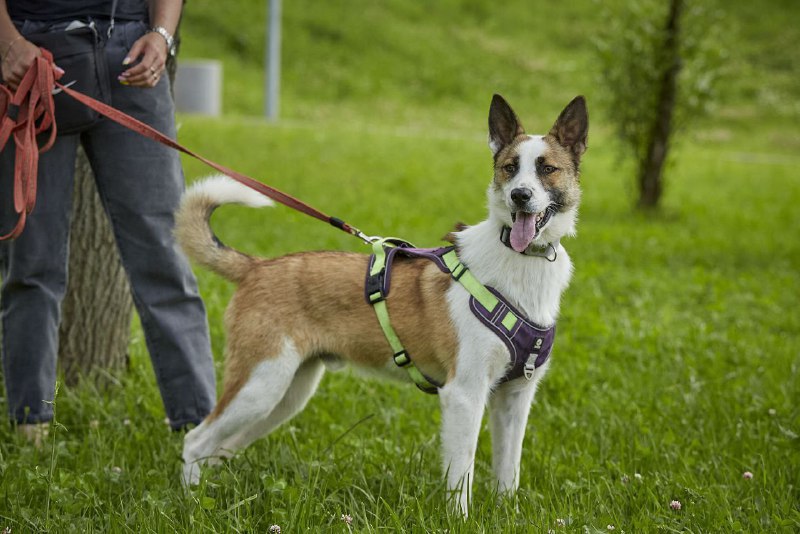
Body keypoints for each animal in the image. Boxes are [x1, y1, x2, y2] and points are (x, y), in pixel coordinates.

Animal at [178, 94, 584, 516]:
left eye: (547, 169)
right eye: (510, 168)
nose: (520, 196)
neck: (518, 263)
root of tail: (257, 267)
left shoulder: (515, 398)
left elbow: (509, 472)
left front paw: (507, 515)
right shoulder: (464, 395)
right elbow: (461, 477)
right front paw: (461, 520)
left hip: (284, 396)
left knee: (219, 447)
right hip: (260, 386)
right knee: (196, 441)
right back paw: (192, 505)